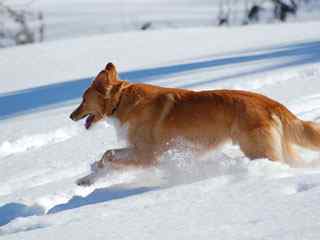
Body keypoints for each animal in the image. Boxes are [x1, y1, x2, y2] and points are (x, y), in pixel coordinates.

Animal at [70, 62, 320, 185]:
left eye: (83, 99)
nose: (71, 116)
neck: (121, 101)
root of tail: (268, 102)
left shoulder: (147, 155)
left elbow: (109, 156)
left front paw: (96, 172)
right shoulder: (137, 149)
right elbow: (106, 156)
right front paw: (88, 178)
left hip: (258, 149)